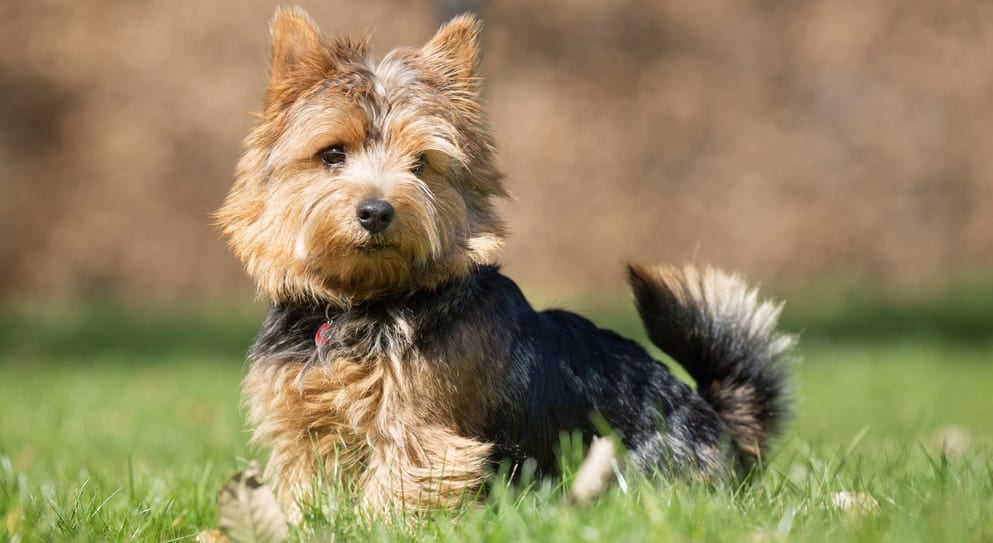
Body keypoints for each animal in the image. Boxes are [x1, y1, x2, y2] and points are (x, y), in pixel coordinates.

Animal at [215, 7, 792, 520]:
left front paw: (378, 527)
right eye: (332, 154)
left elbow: (399, 487)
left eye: (420, 163)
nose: (377, 211)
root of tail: (716, 421)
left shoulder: (418, 429)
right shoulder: (303, 427)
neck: (361, 303)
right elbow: (306, 487)